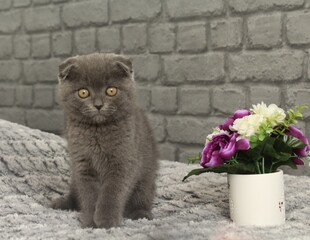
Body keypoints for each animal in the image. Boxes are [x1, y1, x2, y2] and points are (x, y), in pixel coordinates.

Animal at [51, 53, 159, 229]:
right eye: (83, 92)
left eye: (111, 90)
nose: (98, 105)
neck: (98, 131)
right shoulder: (82, 164)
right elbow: (89, 195)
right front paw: (90, 221)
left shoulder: (123, 160)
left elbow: (112, 192)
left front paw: (107, 220)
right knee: (76, 194)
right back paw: (61, 203)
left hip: (146, 177)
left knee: (143, 196)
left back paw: (141, 213)